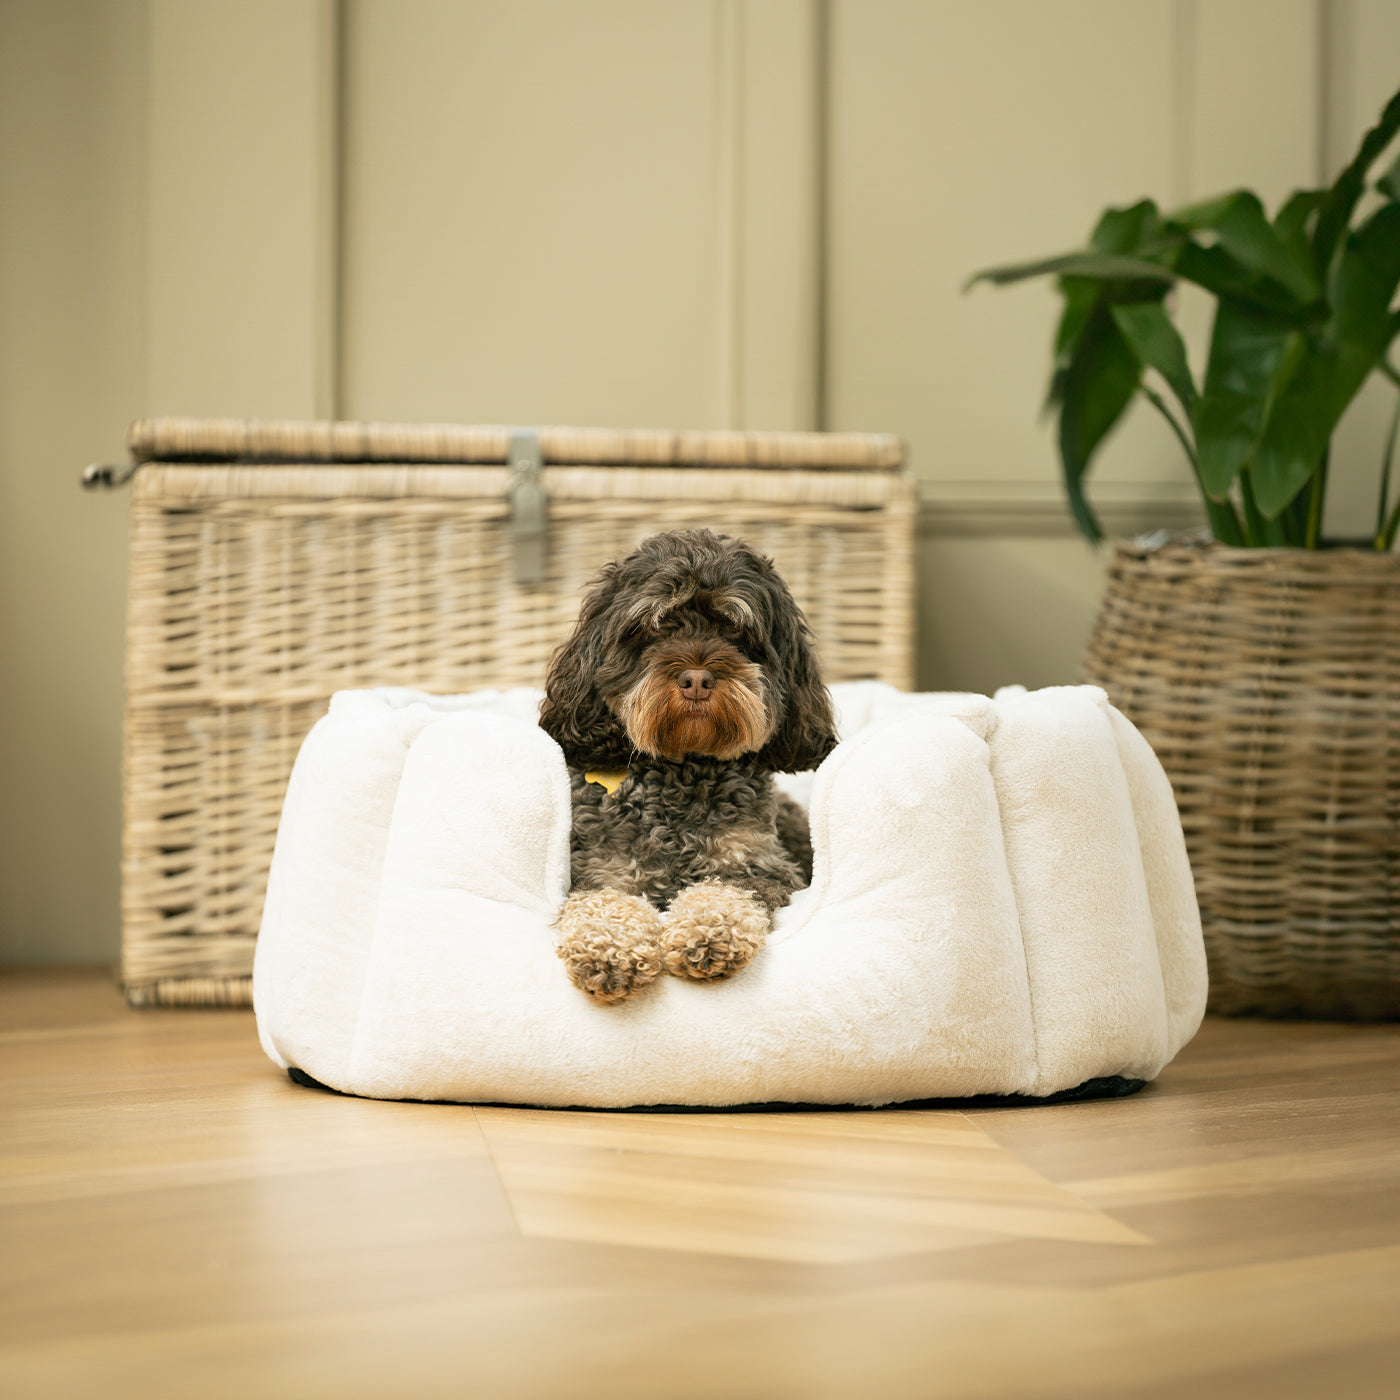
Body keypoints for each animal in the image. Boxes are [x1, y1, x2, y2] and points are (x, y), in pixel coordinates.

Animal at [540, 529, 834, 1002]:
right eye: (654, 628)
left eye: (735, 631)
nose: (696, 680)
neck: (683, 770)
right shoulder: (599, 869)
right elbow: (604, 903)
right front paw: (608, 949)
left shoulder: (763, 868)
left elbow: (725, 891)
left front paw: (709, 933)